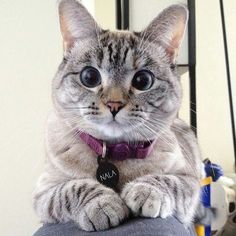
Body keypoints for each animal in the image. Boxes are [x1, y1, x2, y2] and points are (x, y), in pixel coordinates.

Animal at [32, 0, 203, 231]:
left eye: (143, 81)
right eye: (89, 77)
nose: (114, 104)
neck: (115, 153)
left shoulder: (190, 180)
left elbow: (167, 181)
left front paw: (144, 191)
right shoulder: (44, 192)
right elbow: (73, 188)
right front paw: (104, 204)